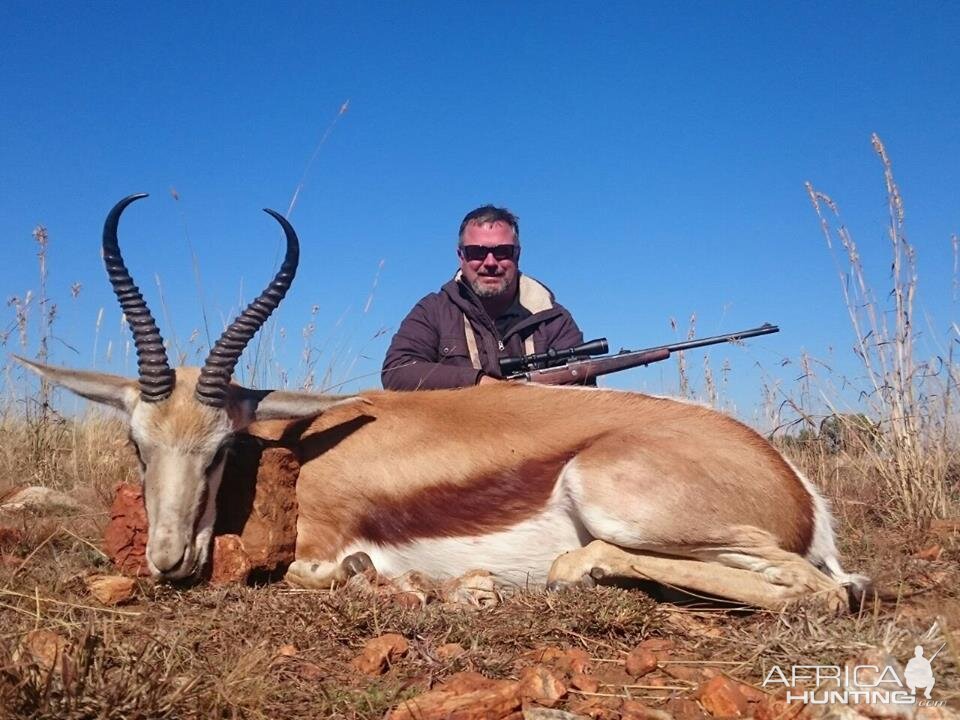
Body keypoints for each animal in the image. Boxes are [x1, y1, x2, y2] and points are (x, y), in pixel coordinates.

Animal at [16, 194, 872, 612]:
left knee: (822, 592)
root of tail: (795, 483)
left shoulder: (322, 548)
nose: (169, 561)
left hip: (619, 503)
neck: (295, 456)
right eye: (137, 442)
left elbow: (320, 575)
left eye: (222, 445)